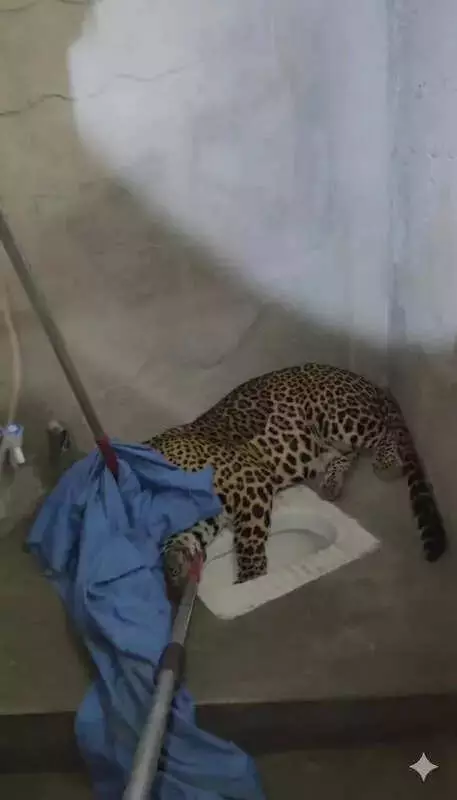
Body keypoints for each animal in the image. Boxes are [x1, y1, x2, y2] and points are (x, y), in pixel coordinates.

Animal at [144, 363, 447, 587]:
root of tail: (364, 379)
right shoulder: (212, 512)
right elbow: (192, 532)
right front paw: (174, 560)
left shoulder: (248, 482)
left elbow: (248, 542)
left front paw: (251, 579)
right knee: (347, 453)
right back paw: (332, 482)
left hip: (340, 419)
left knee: (384, 431)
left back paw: (387, 462)